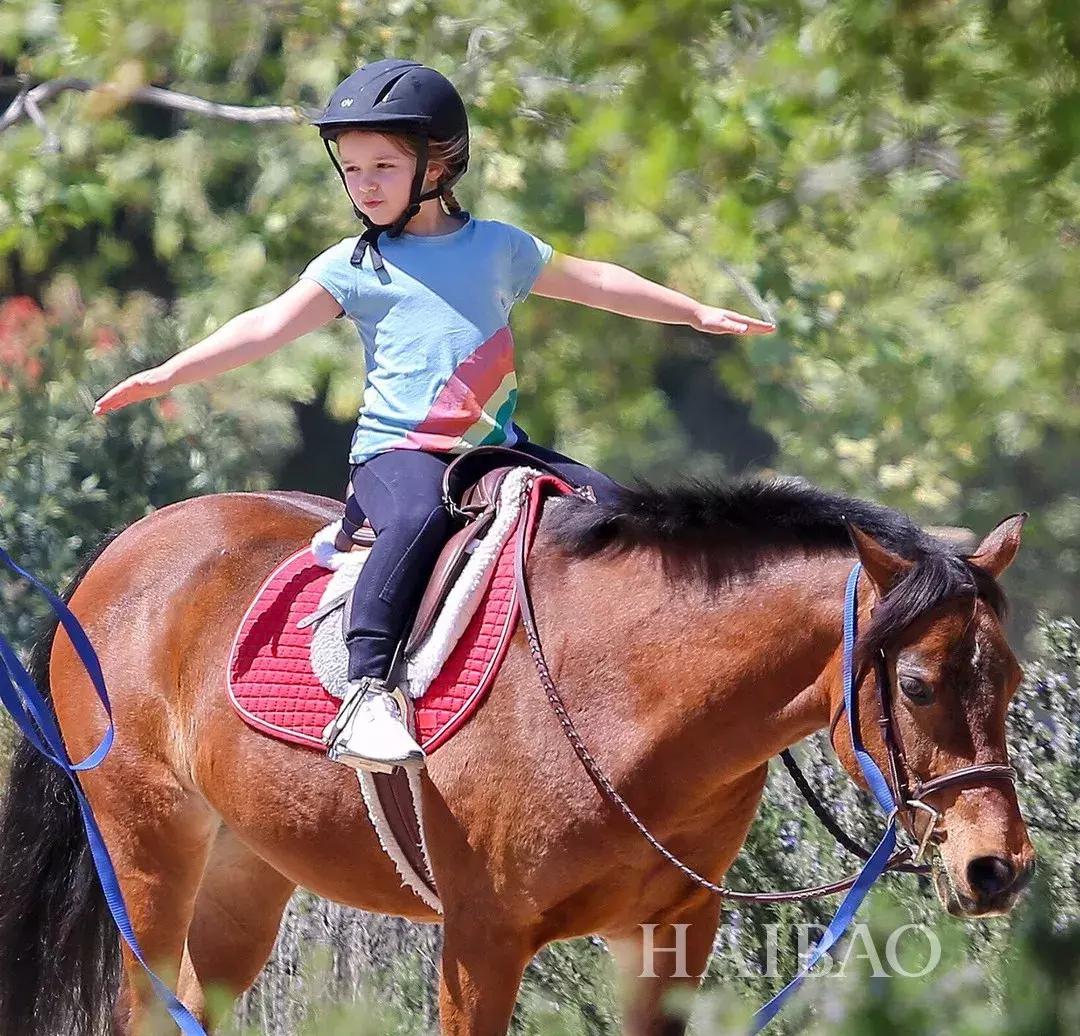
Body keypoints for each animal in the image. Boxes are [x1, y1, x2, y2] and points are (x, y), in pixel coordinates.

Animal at [0, 475, 1035, 1035]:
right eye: (917, 687)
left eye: (1016, 681)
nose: (999, 867)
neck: (625, 693)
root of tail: (121, 551)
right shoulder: (481, 941)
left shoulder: (670, 937)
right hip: (150, 853)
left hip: (244, 874)